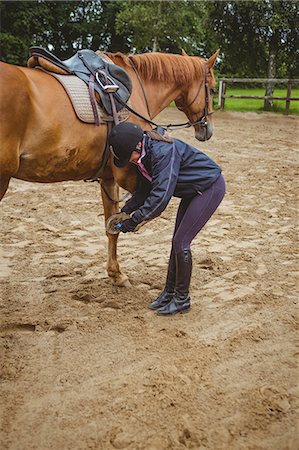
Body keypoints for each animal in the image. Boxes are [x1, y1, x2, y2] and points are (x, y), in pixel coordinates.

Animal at [0, 48, 220, 284]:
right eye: (212, 89)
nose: (207, 130)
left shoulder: (108, 179)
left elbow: (111, 229)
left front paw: (116, 273)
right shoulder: (130, 175)